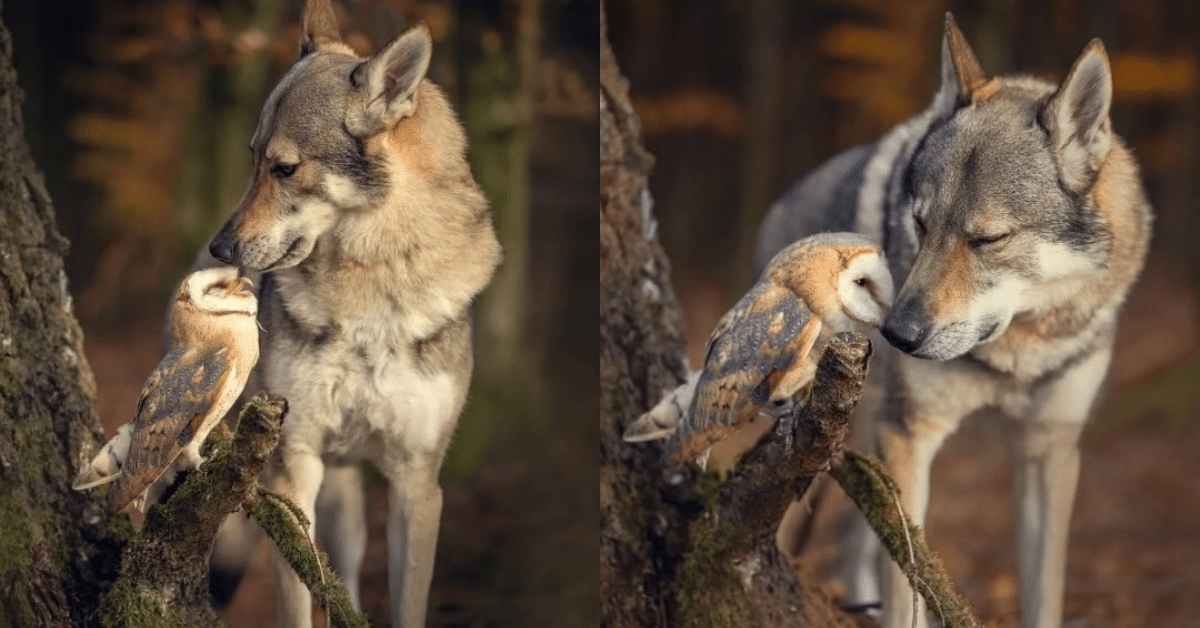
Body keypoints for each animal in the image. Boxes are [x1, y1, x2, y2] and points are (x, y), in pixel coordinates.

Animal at [201, 1, 501, 625]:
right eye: (252, 160)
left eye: (284, 168)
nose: (219, 248)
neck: (370, 292)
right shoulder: (291, 469)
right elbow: (297, 607)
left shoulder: (419, 484)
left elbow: (408, 605)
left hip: (348, 500)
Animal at [755, 14, 1151, 628]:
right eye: (920, 224)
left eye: (988, 239)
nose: (896, 334)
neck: (1019, 346)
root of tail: (784, 201)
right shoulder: (912, 436)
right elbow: (909, 591)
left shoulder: (1048, 449)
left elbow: (1044, 597)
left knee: (853, 543)